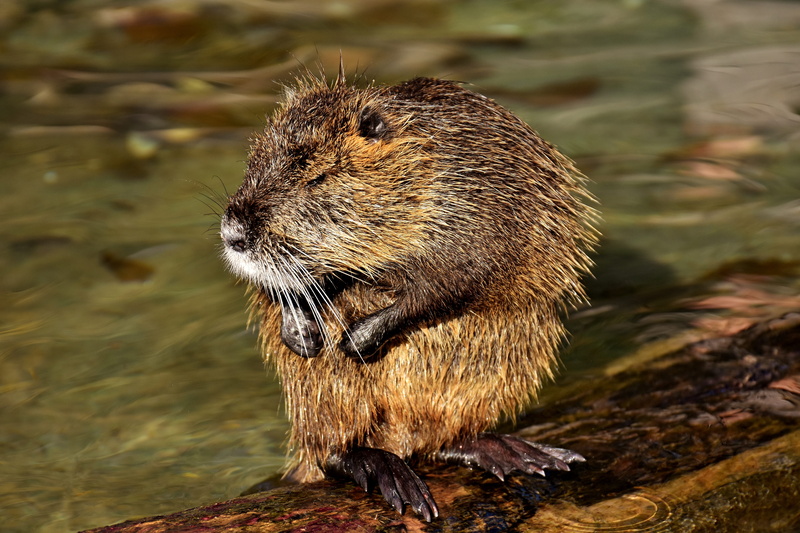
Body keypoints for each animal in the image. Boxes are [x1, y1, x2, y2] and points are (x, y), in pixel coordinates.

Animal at [220, 67, 598, 521]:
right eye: (252, 162)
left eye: (317, 177)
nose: (233, 234)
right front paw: (303, 333)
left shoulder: (470, 210)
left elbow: (453, 283)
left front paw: (356, 340)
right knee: (331, 450)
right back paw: (386, 470)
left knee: (443, 438)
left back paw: (517, 453)